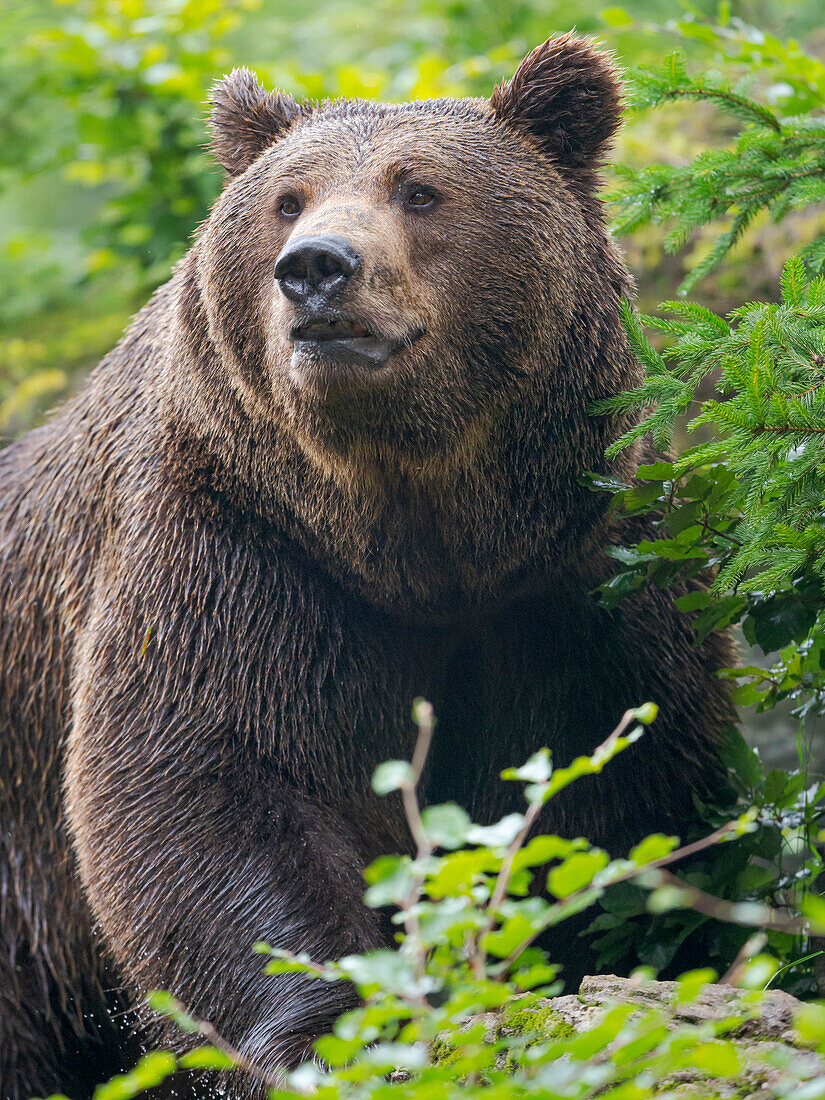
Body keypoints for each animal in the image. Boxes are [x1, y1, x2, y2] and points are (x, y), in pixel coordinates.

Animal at [1, 34, 734, 1100]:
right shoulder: (237, 548)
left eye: (419, 189)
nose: (315, 269)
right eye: (286, 198)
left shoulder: (579, 580)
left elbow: (615, 785)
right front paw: (322, 1027)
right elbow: (209, 783)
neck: (416, 541)